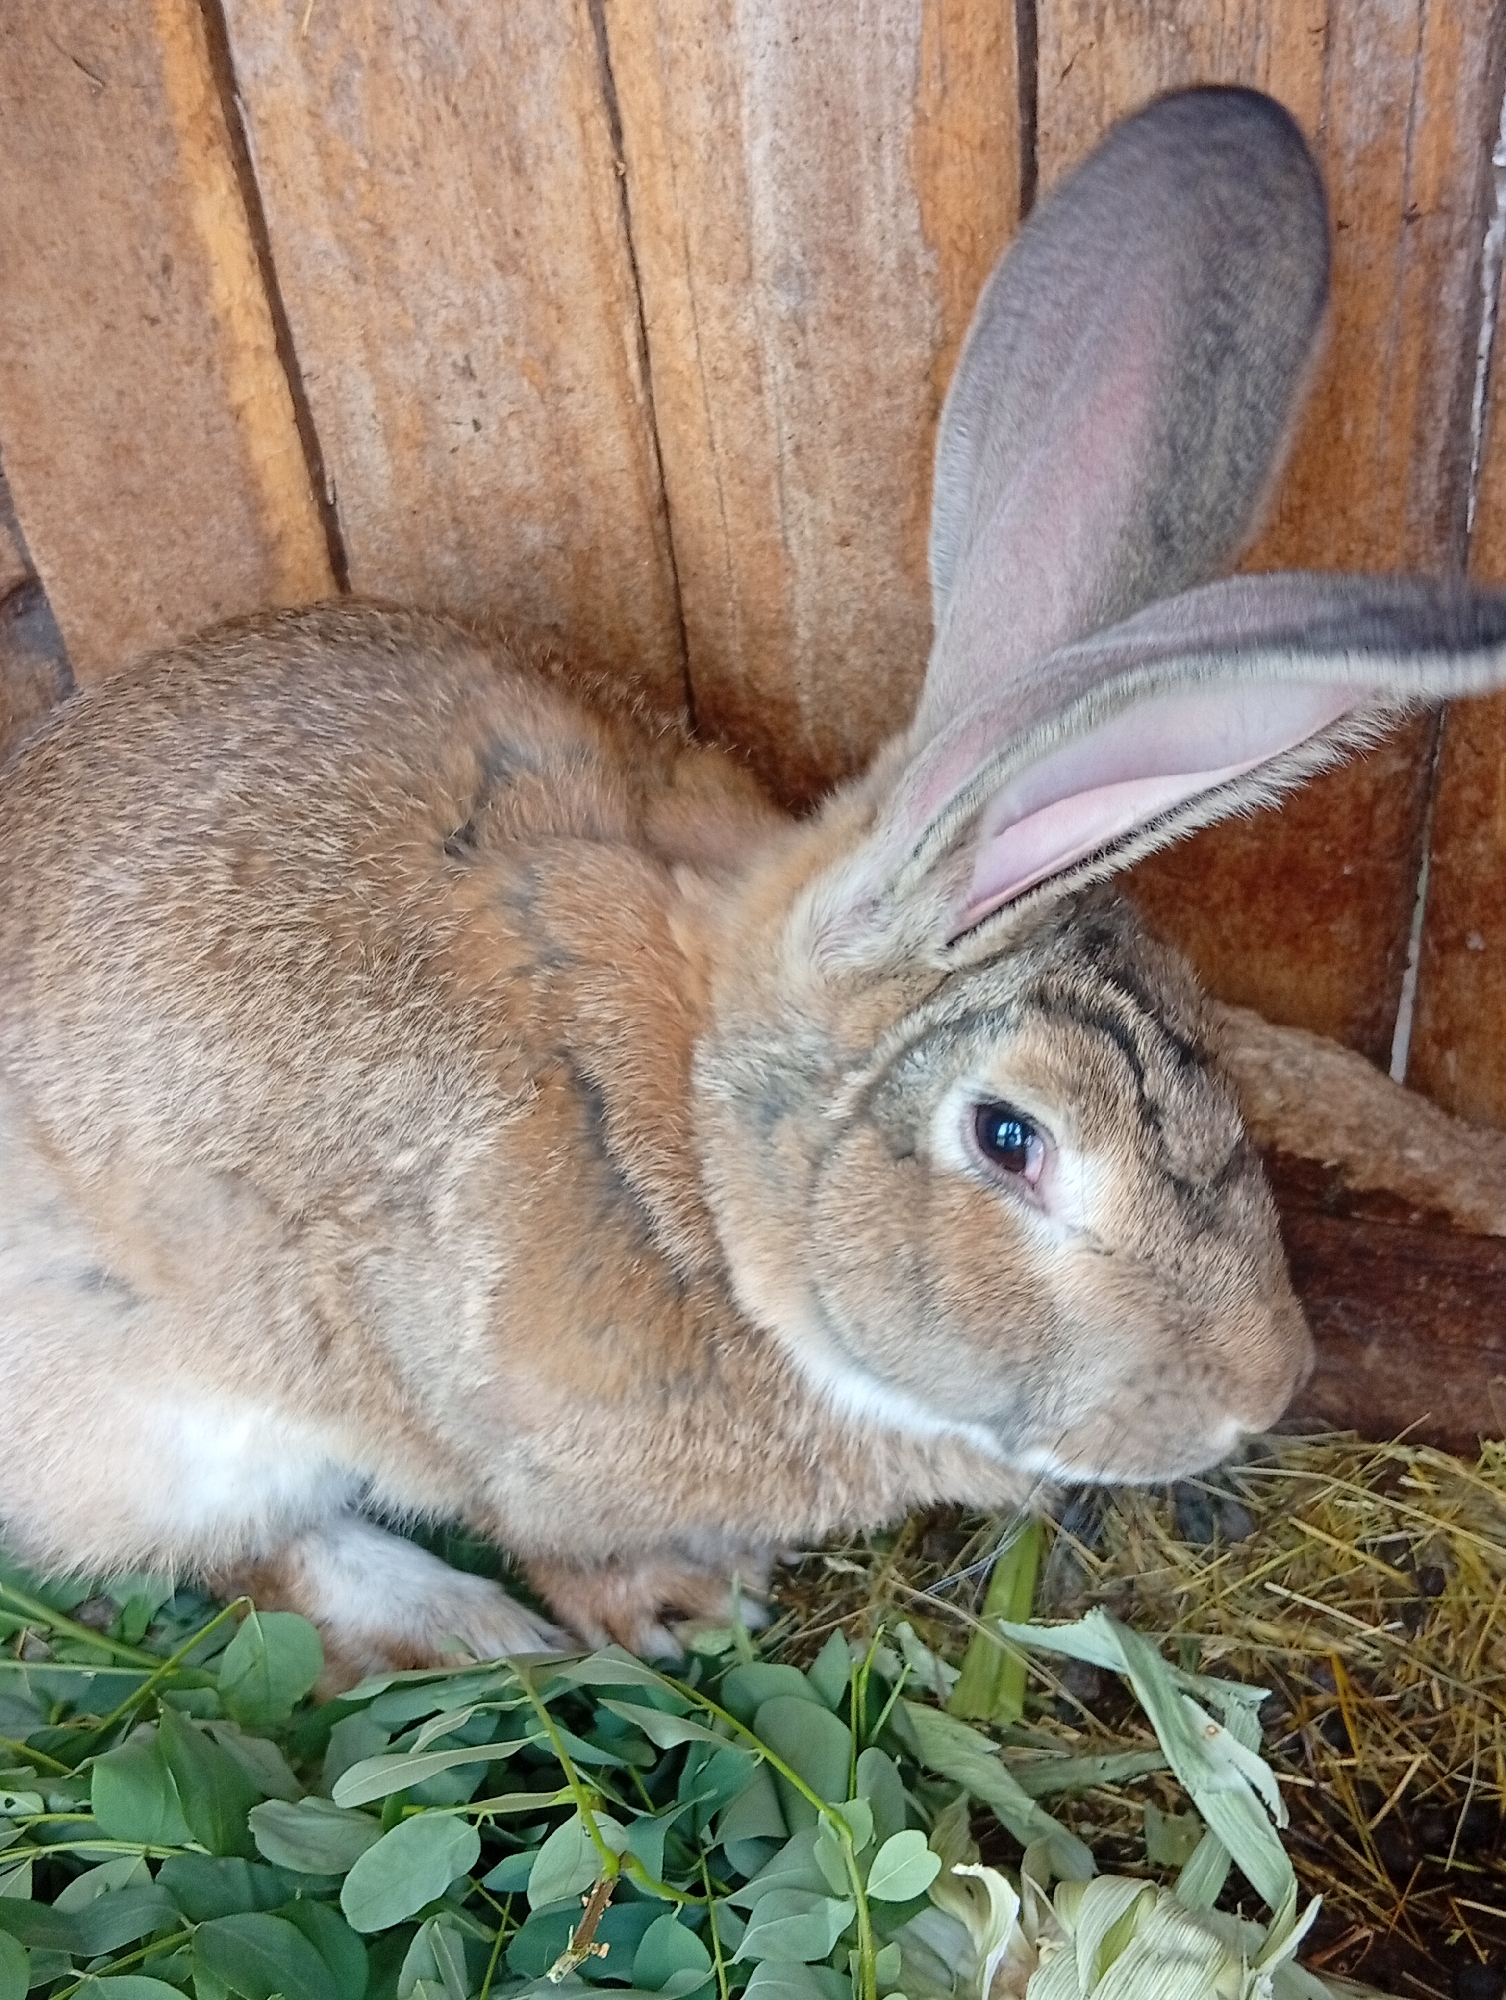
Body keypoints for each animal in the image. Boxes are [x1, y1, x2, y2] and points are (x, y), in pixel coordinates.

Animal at [4, 86, 1506, 1685]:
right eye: (1010, 1139)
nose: (1260, 1390)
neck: (706, 1169)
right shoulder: (451, 1399)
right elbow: (523, 1520)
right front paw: (667, 1607)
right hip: (149, 1416)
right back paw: (467, 1626)